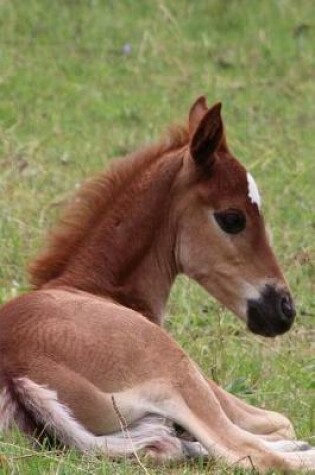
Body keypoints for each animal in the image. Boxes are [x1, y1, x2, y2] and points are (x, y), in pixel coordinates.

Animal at [0, 97, 315, 472]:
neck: (98, 288)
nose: (284, 309)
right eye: (232, 218)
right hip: (176, 373)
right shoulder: (206, 385)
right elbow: (280, 424)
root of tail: (15, 373)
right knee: (245, 451)